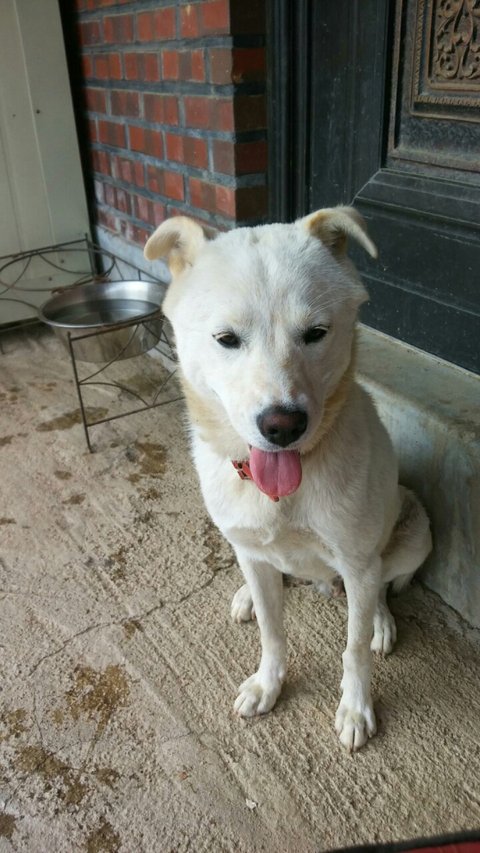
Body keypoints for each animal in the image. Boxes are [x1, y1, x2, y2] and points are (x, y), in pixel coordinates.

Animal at [144, 208, 432, 751]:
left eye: (316, 332)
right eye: (226, 339)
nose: (282, 426)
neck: (279, 496)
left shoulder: (357, 562)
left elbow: (353, 648)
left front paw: (356, 708)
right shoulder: (254, 552)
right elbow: (272, 632)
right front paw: (268, 683)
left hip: (412, 535)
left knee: (385, 584)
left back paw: (382, 621)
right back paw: (247, 595)